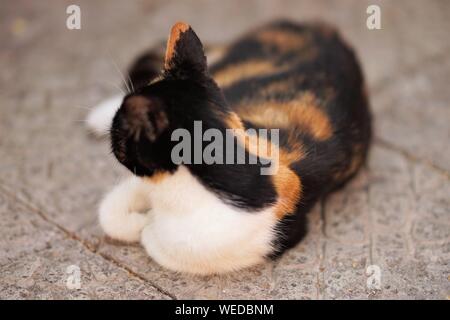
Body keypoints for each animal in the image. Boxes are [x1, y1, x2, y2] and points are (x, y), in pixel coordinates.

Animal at [86, 20, 370, 276]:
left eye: (121, 136)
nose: (113, 125)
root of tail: (320, 28)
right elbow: (109, 213)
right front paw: (139, 221)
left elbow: (156, 243)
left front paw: (145, 225)